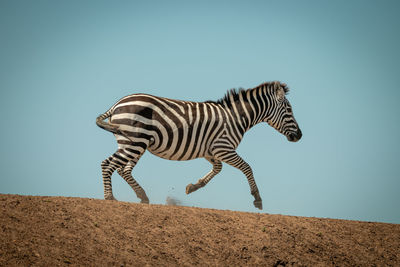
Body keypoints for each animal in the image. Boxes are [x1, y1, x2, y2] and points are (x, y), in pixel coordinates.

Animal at [97, 80, 302, 210]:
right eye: (289, 110)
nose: (300, 136)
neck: (237, 117)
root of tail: (116, 104)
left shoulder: (211, 151)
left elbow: (218, 169)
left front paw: (193, 187)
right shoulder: (223, 147)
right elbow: (247, 167)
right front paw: (257, 198)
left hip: (134, 143)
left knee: (123, 169)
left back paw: (142, 196)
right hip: (135, 141)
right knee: (108, 164)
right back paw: (110, 198)